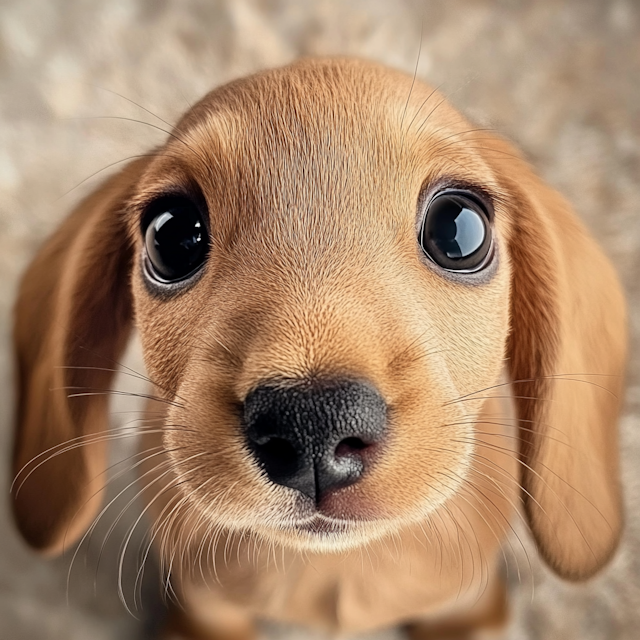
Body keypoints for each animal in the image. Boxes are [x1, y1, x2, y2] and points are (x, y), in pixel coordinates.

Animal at [12, 57, 628, 636]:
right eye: (172, 235)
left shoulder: (468, 606)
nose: (313, 423)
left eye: (459, 230)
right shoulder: (203, 608)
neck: (333, 569)